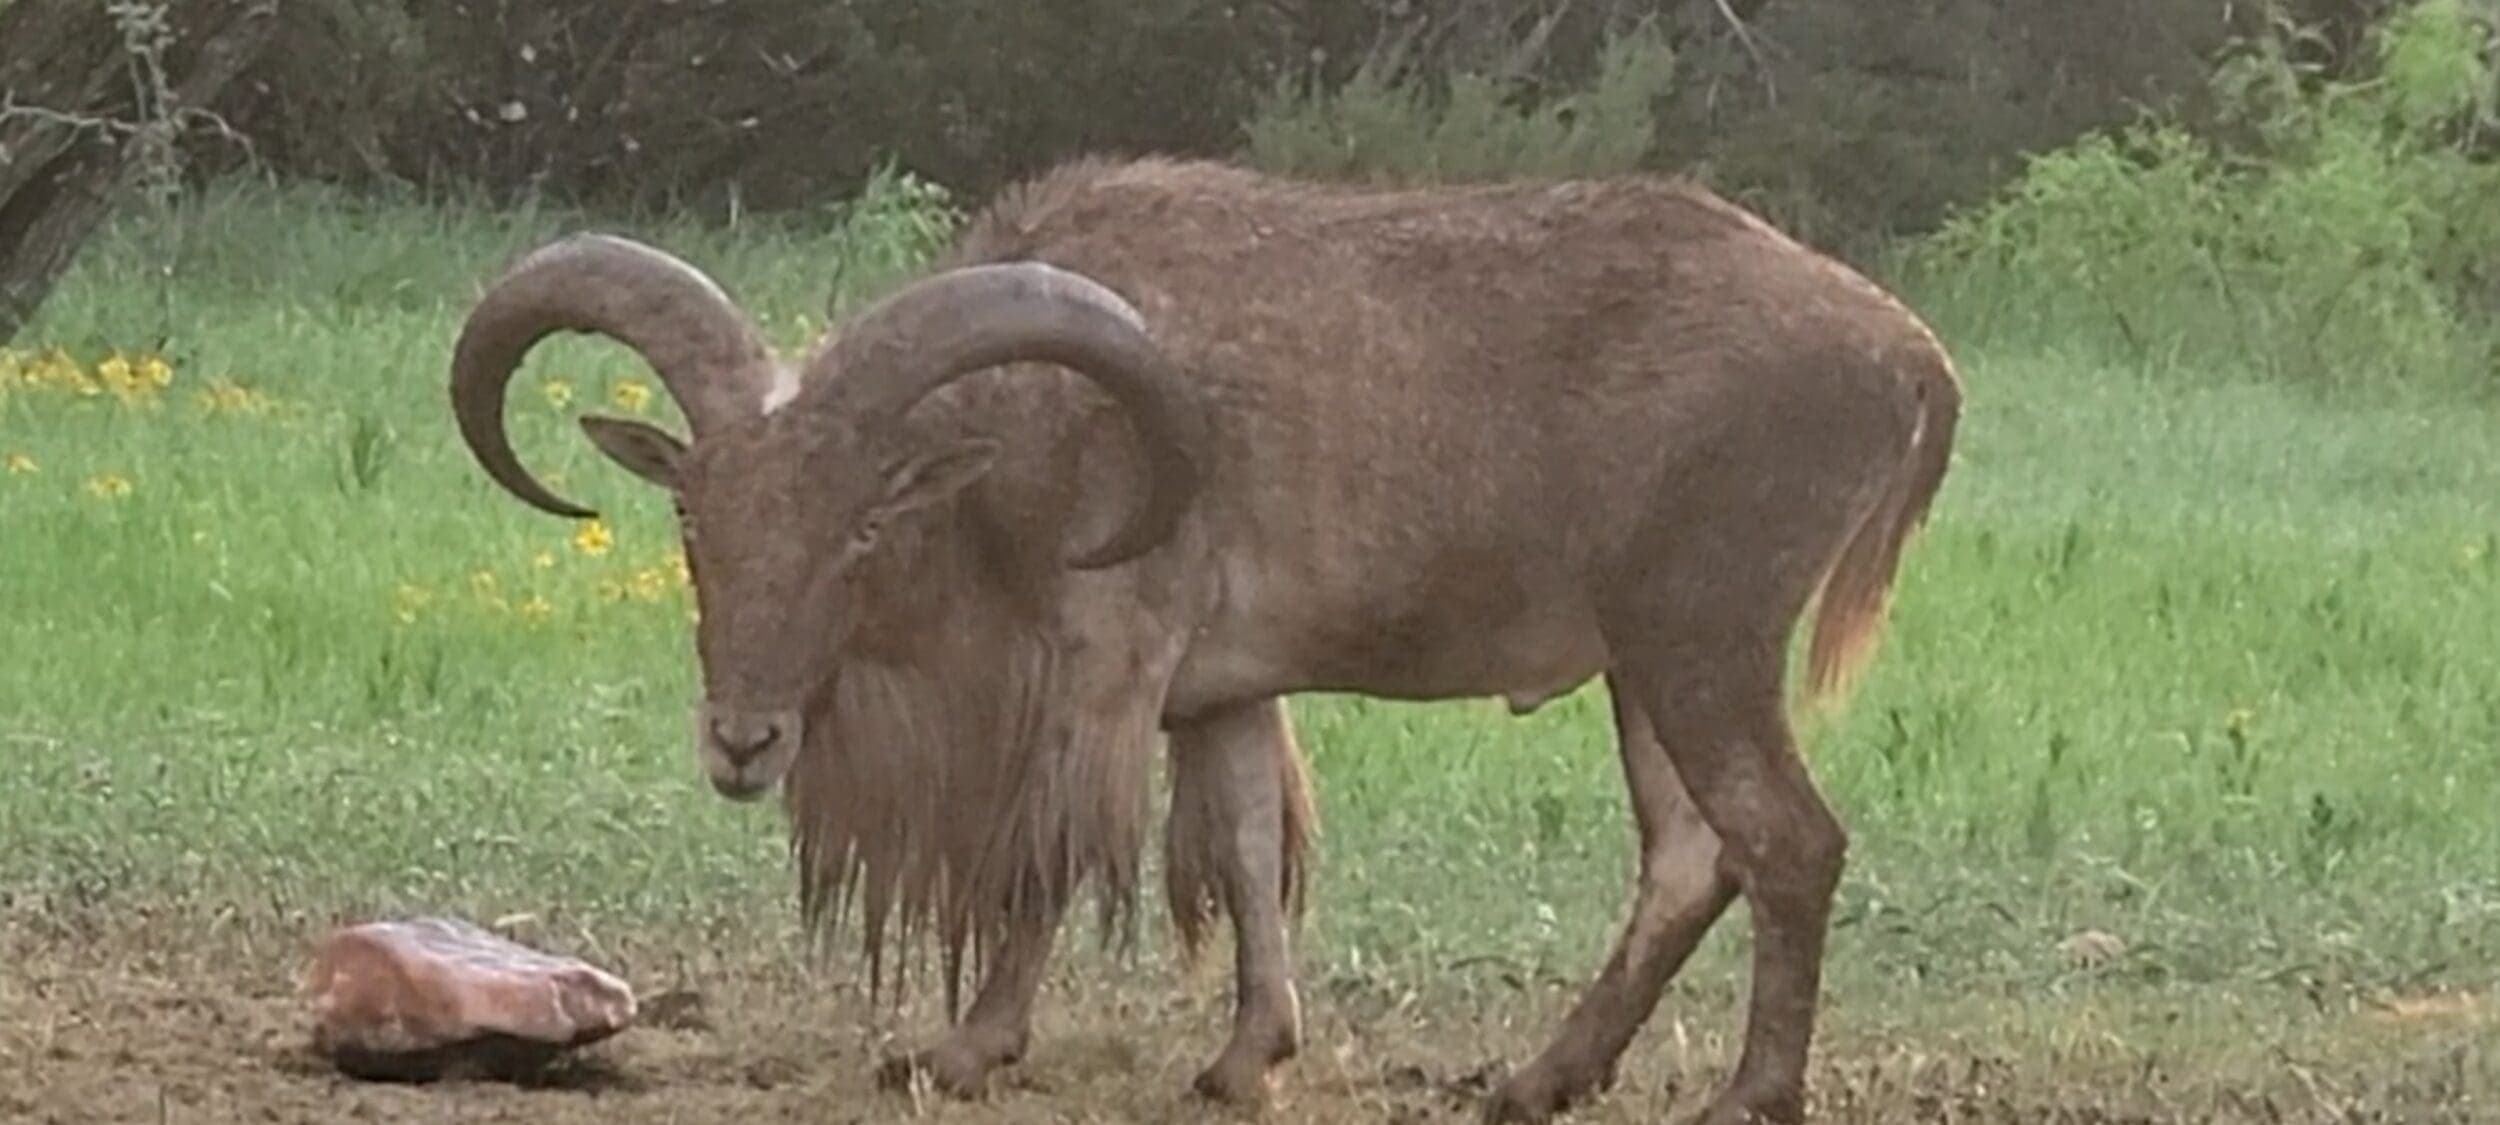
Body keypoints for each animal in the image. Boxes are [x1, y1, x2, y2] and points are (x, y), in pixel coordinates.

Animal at [445, 155, 1962, 1125]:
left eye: (866, 521)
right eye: (694, 514)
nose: (745, 739)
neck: (1025, 445)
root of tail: (1909, 353)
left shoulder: (1104, 671)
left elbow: (1050, 856)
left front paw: (966, 1048)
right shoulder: (1222, 699)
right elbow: (1244, 853)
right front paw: (1246, 1059)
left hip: (1701, 639)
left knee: (1785, 842)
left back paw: (1748, 1095)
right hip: (1647, 668)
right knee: (1692, 857)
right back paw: (1538, 1080)